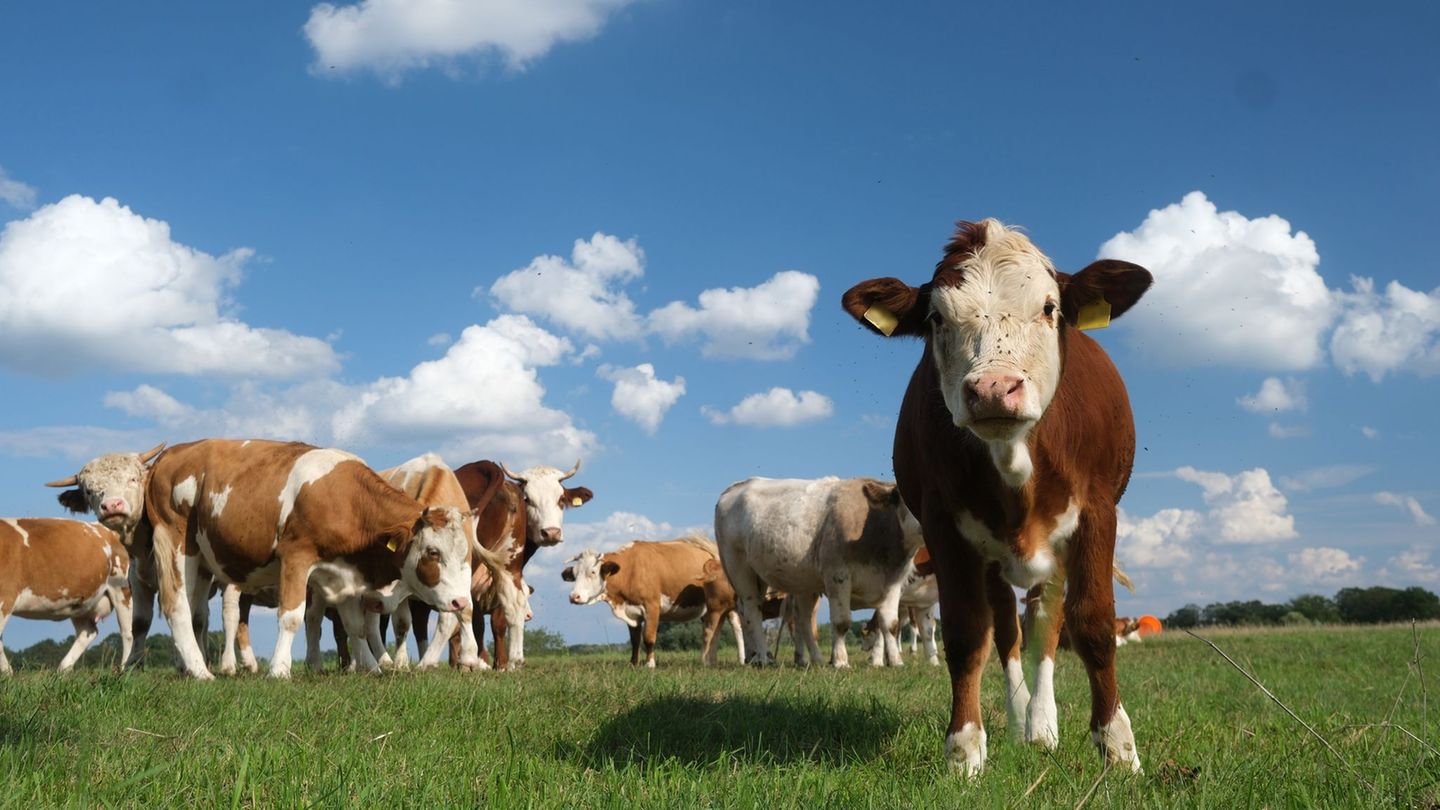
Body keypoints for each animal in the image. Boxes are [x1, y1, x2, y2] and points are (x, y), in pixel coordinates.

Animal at [0, 518, 133, 673]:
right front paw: (7, 673)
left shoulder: (5, 598)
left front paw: (6, 673)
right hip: (82, 603)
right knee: (88, 631)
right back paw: (64, 669)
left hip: (122, 590)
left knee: (128, 633)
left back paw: (124, 670)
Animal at [112, 439, 473, 679]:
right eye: (433, 552)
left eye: (466, 554)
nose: (460, 602)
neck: (348, 500)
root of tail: (172, 453)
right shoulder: (296, 557)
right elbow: (291, 616)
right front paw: (279, 670)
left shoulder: (345, 575)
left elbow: (355, 626)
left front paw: (371, 667)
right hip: (173, 542)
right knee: (176, 605)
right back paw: (201, 672)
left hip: (201, 560)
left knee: (195, 610)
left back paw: (188, 667)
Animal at [562, 536, 742, 667]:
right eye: (575, 574)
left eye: (592, 572)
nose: (574, 596)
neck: (630, 570)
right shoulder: (632, 612)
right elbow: (635, 641)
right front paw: (633, 663)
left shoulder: (652, 606)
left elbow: (649, 637)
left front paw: (650, 664)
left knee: (735, 627)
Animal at [714, 477, 924, 668]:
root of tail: (736, 486)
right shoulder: (837, 575)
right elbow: (841, 622)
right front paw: (841, 661)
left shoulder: (893, 583)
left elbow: (890, 624)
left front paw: (896, 662)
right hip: (739, 567)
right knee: (752, 610)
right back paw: (764, 658)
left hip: (792, 580)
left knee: (800, 620)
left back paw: (803, 659)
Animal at [841, 218, 1152, 775]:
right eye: (937, 318)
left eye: (1049, 307)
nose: (992, 388)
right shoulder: (946, 528)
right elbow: (969, 635)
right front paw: (964, 750)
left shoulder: (1097, 514)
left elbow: (1092, 624)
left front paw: (1118, 747)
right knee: (1008, 630)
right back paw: (1020, 720)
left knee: (1046, 626)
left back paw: (1043, 725)